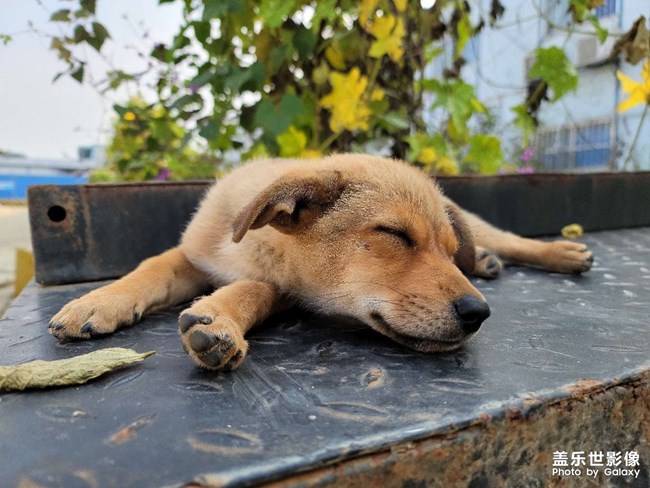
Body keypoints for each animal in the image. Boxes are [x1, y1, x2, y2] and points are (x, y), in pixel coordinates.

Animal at [48, 154, 588, 372]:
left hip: (475, 227)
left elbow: (251, 289)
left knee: (506, 239)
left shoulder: (283, 290)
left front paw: (217, 318)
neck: (251, 245)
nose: (479, 313)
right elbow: (150, 268)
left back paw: (560, 253)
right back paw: (492, 263)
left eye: (447, 251)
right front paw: (96, 304)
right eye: (393, 235)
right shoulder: (191, 254)